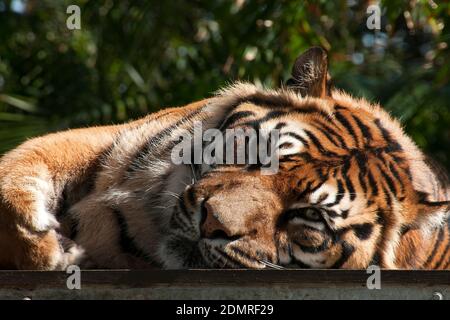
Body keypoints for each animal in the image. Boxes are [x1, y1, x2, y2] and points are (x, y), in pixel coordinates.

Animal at [0, 46, 448, 268]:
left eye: (310, 216)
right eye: (262, 154)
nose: (210, 224)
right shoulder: (109, 139)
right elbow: (22, 161)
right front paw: (38, 241)